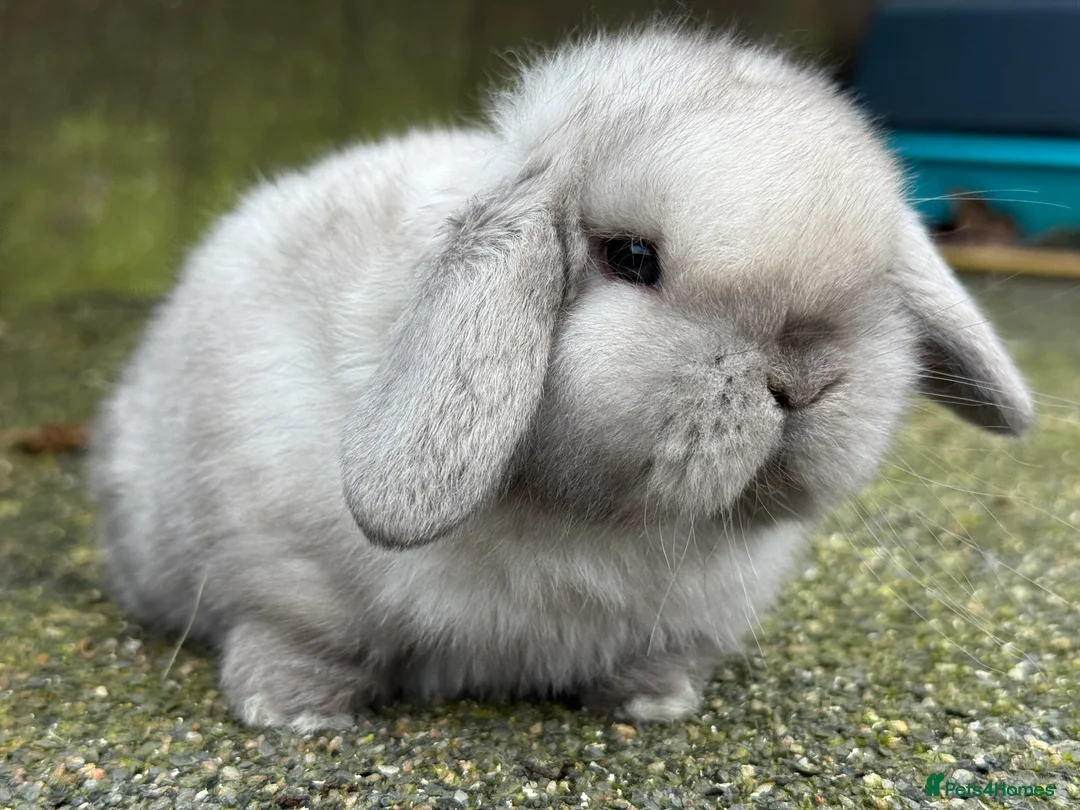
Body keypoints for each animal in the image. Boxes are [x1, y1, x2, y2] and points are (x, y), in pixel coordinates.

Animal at [89, 26, 1033, 732]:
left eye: (876, 283)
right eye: (632, 258)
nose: (803, 382)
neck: (593, 522)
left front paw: (657, 702)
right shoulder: (280, 568)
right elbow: (295, 635)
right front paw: (294, 712)